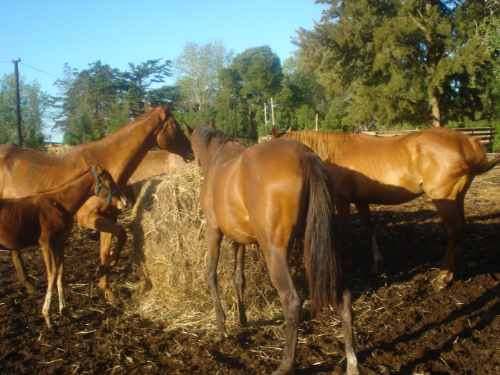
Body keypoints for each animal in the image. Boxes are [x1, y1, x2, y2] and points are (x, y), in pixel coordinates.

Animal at [0, 107, 193, 302]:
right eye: (176, 125)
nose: (191, 152)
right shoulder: (89, 218)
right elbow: (121, 234)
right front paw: (111, 266)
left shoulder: (108, 217)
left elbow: (107, 249)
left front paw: (107, 288)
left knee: (15, 251)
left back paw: (28, 285)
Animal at [0, 166, 128, 328]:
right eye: (109, 182)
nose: (125, 202)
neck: (59, 204)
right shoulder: (46, 244)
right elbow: (52, 274)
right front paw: (47, 316)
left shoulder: (60, 242)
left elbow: (60, 272)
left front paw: (65, 310)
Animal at [191, 125, 360, 375]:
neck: (218, 159)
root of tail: (305, 156)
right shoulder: (239, 241)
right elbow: (238, 278)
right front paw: (242, 319)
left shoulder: (214, 231)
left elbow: (211, 274)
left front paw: (221, 328)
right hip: (319, 246)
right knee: (344, 296)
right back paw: (351, 361)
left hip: (275, 252)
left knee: (292, 301)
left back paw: (285, 365)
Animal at [274, 128, 500, 290]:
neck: (331, 154)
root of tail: (468, 143)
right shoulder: (361, 200)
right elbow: (368, 227)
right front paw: (377, 262)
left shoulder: (342, 200)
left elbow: (344, 230)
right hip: (456, 197)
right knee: (460, 229)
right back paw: (454, 271)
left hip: (445, 197)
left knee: (453, 231)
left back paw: (444, 276)